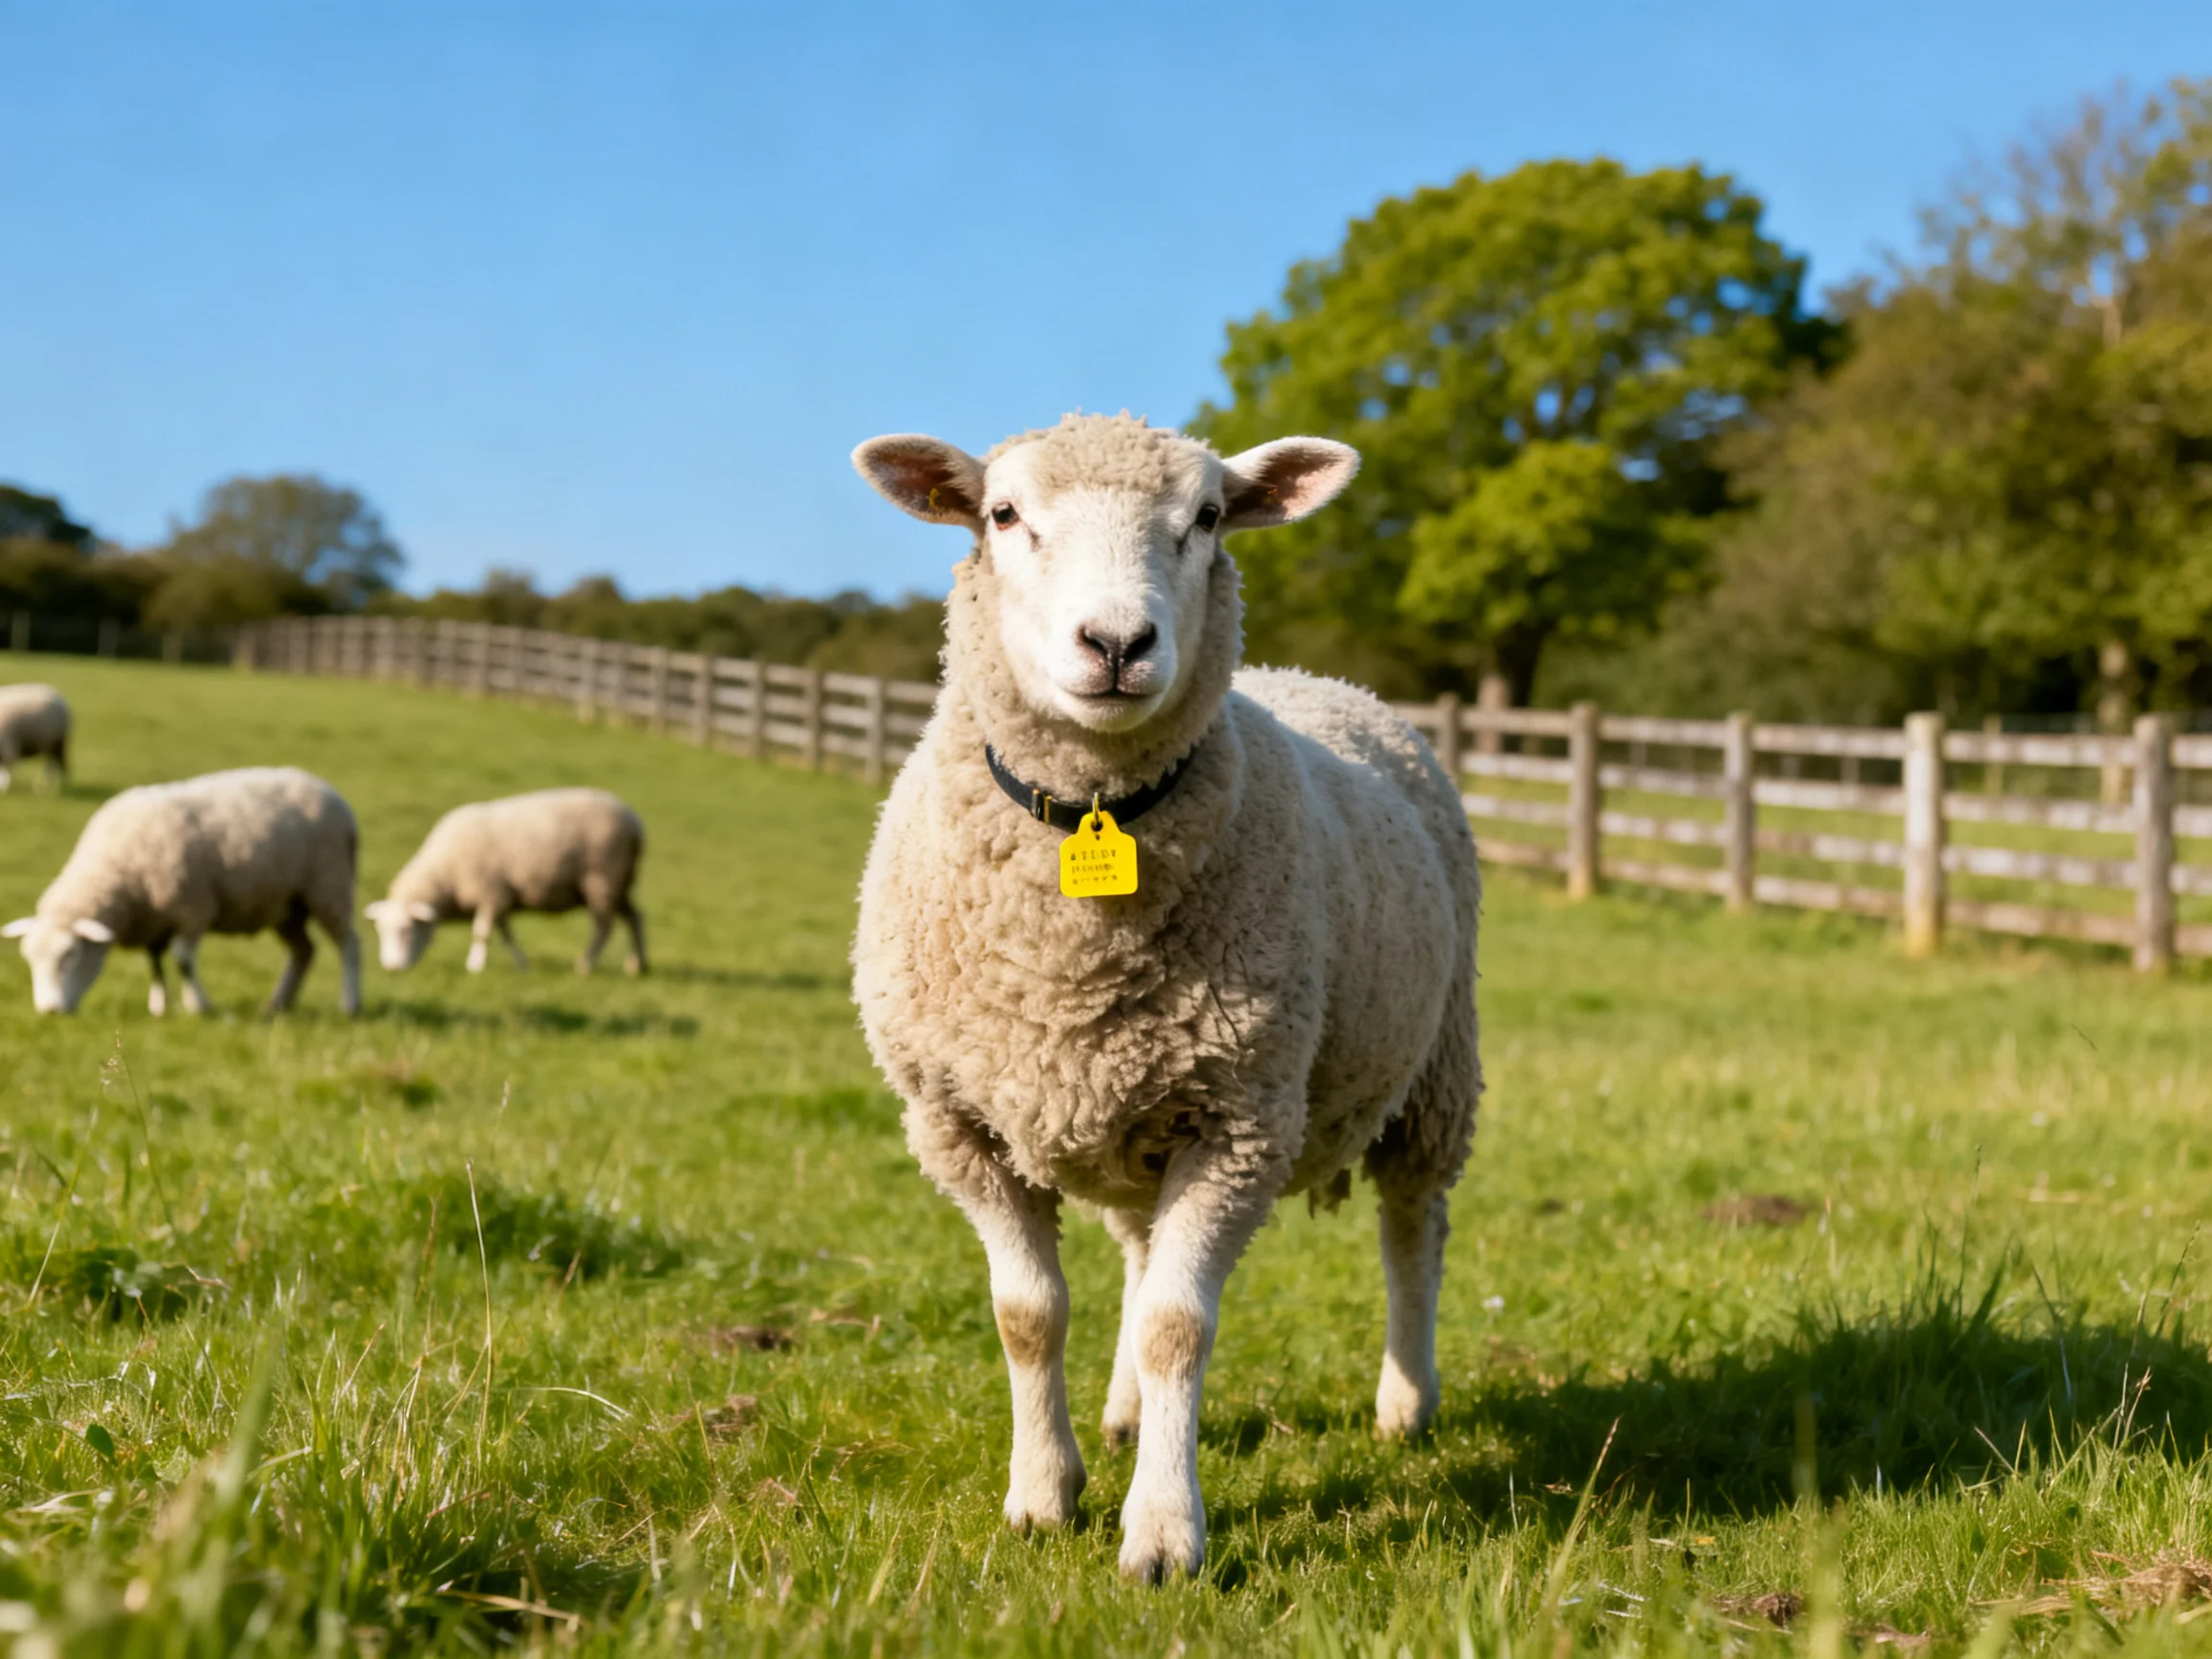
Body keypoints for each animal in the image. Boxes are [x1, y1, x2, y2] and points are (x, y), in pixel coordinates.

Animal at [4, 765, 360, 1017]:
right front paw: (159, 1006)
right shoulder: (153, 919)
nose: (49, 1012)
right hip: (286, 905)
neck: (117, 868)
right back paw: (278, 1003)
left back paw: (350, 1004)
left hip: (329, 885)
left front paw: (198, 1006)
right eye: (29, 959)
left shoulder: (193, 908)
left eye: (70, 955)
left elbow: (183, 961)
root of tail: (332, 793)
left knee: (349, 943)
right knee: (304, 951)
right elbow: (155, 963)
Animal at [365, 787, 647, 976]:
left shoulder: (491, 893)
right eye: (380, 931)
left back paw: (586, 965)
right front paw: (521, 964)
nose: (390, 968)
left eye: (405, 930)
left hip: (601, 880)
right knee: (634, 917)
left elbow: (482, 932)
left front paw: (474, 966)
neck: (444, 872)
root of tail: (634, 821)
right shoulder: (500, 898)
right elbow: (505, 934)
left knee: (604, 927)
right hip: (620, 883)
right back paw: (637, 965)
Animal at [849, 413, 1481, 1581]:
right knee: (1143, 1255)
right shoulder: (959, 1123)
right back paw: (1128, 1415)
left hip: (1435, 1069)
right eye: (1003, 513)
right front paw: (1042, 1495)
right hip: (1143, 1106)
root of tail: (1318, 677)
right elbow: (1028, 1313)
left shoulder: (1241, 1120)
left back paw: (1406, 1404)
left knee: (1413, 1227)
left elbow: (1178, 1326)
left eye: (1208, 517)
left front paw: (1162, 1535)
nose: (1116, 644)